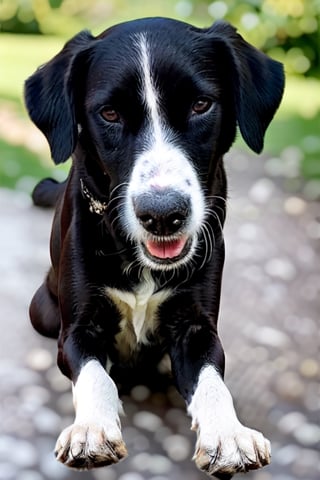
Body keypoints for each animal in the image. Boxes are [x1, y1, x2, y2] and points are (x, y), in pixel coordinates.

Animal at [25, 16, 284, 478]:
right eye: (109, 113)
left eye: (201, 105)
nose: (163, 215)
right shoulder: (77, 329)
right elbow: (94, 373)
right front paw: (92, 429)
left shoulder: (197, 328)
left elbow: (213, 381)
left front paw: (229, 434)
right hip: (42, 310)